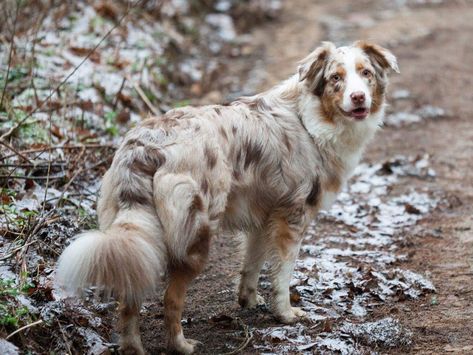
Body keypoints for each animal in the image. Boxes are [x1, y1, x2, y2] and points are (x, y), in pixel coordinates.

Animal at [58, 40, 398, 354]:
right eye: (336, 78)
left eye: (366, 73)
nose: (358, 97)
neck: (310, 120)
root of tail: (146, 144)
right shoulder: (292, 216)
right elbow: (282, 273)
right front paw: (286, 314)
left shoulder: (264, 216)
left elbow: (253, 263)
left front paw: (249, 300)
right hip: (195, 233)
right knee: (170, 298)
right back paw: (181, 345)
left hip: (138, 234)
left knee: (128, 298)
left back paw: (133, 348)